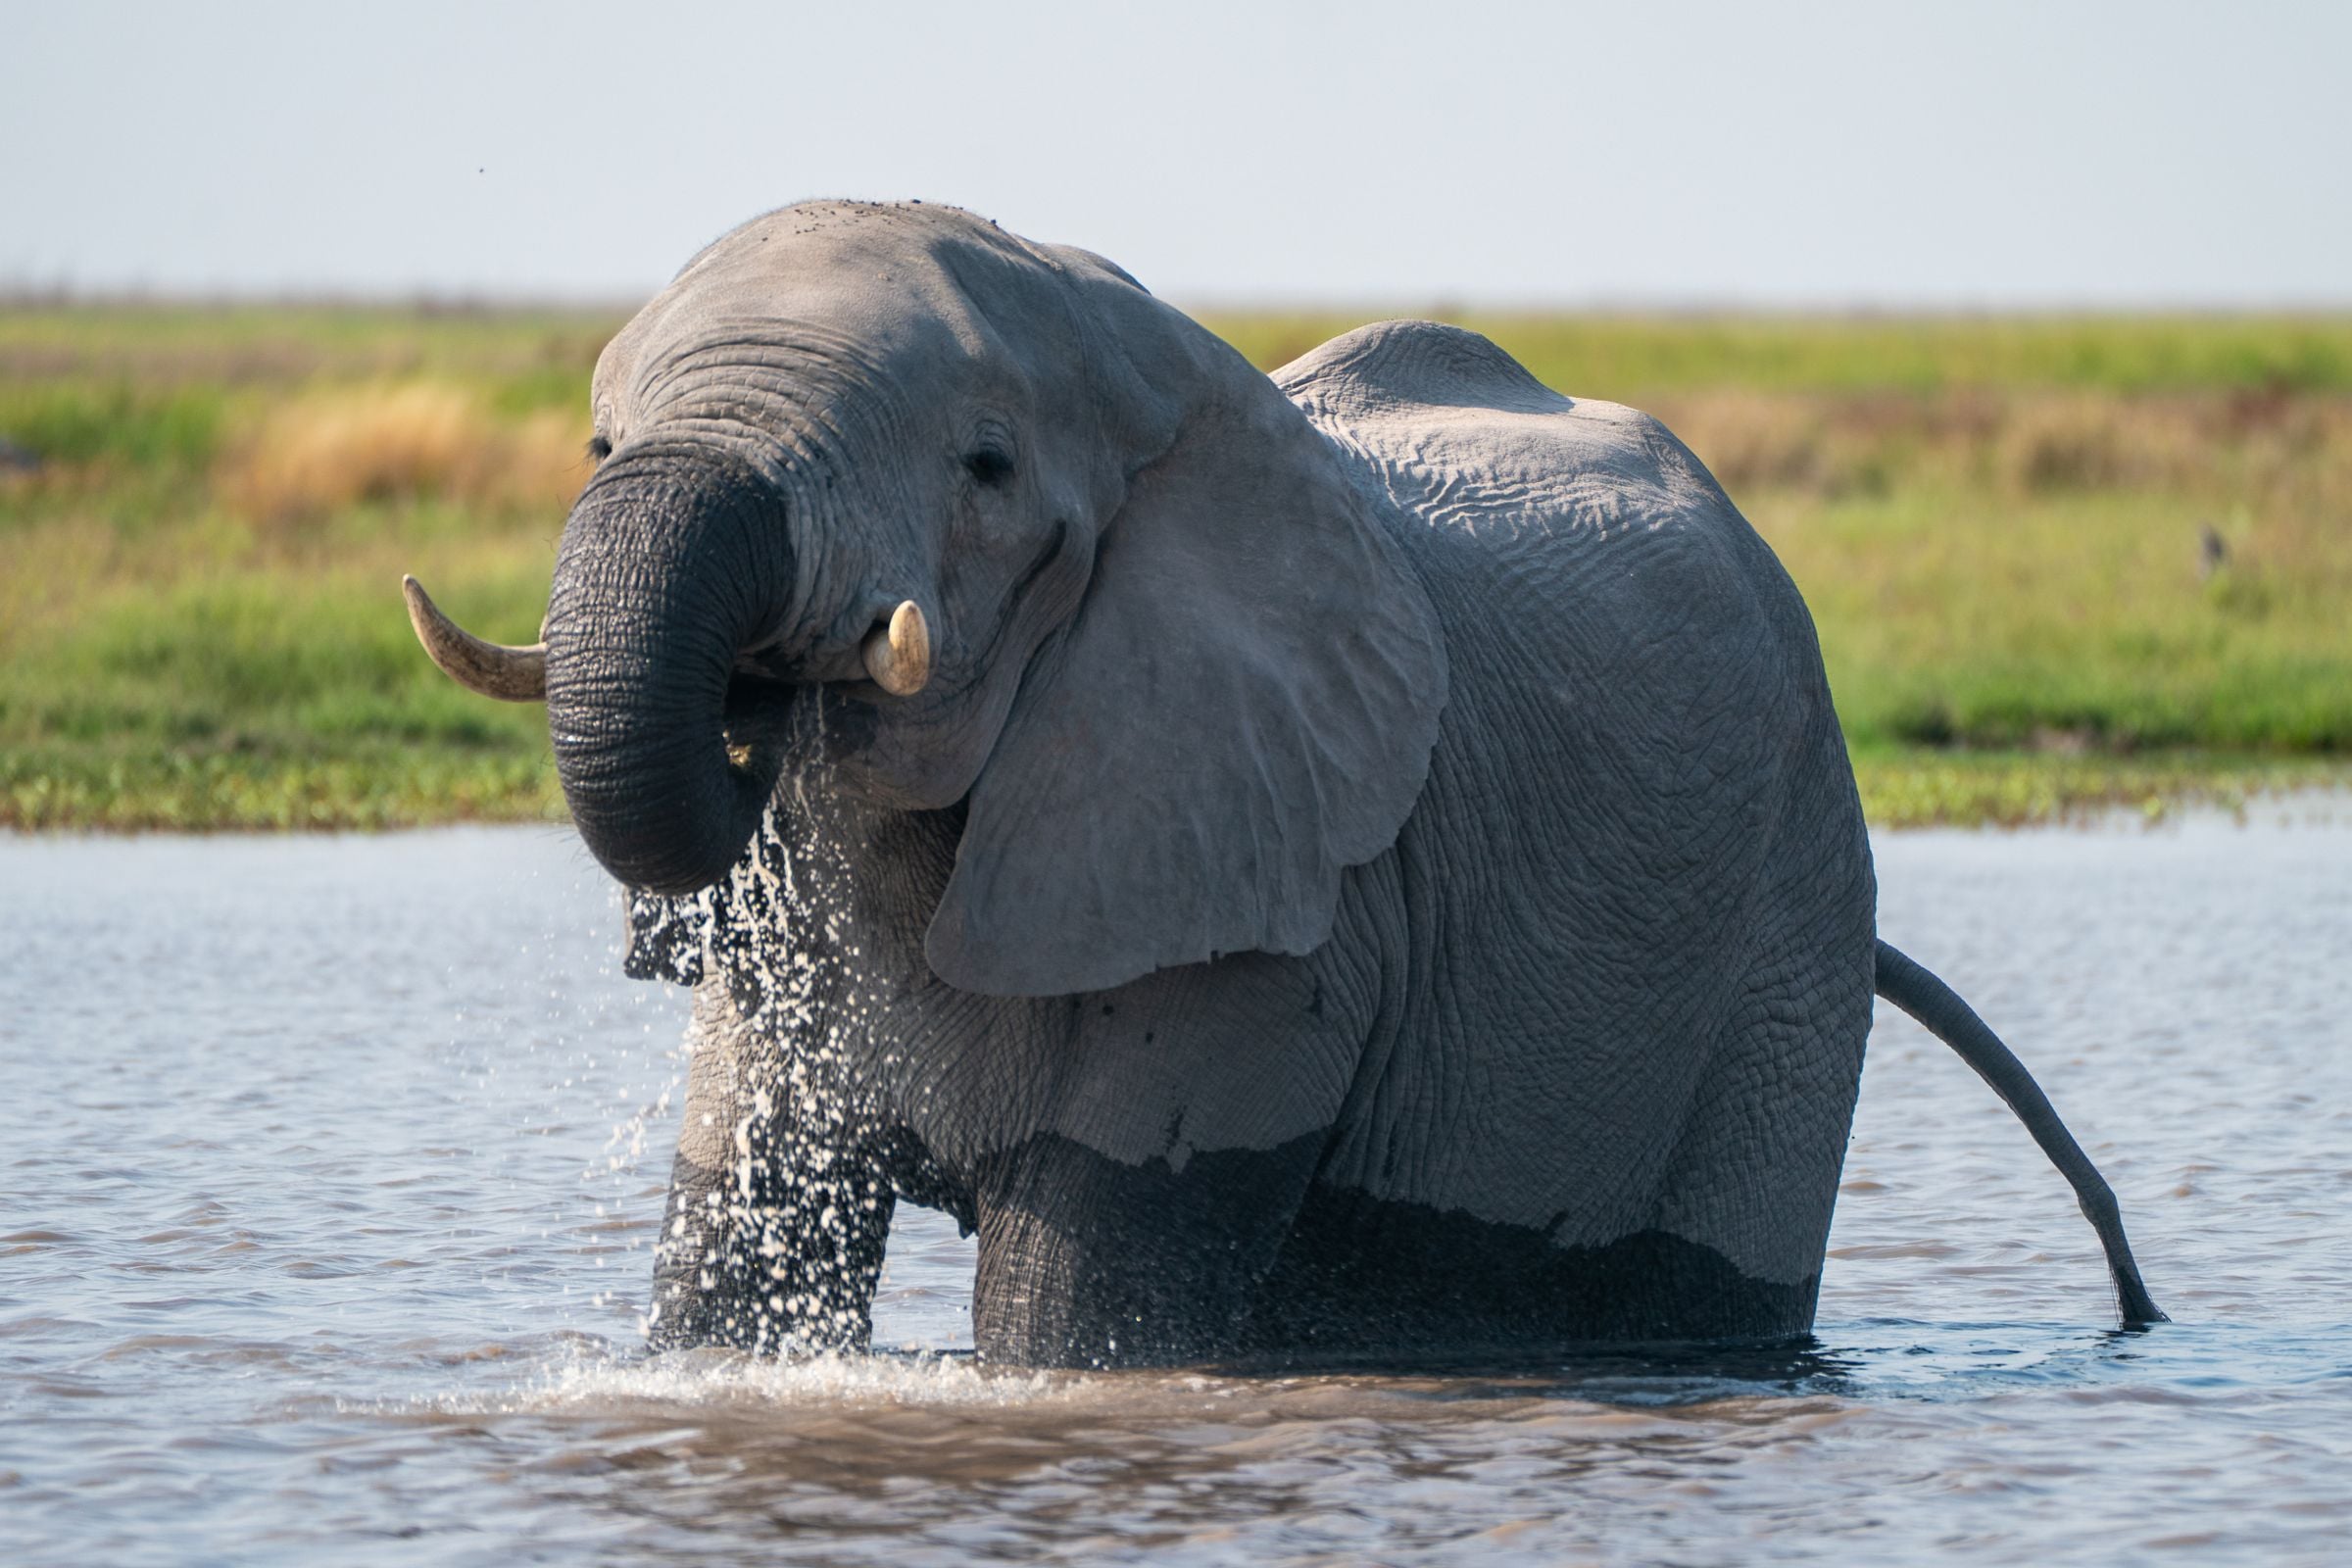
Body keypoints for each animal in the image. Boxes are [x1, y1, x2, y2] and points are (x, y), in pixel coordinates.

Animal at [405, 200, 2162, 1367]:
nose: (765, 694)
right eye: (596, 444)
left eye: (986, 469)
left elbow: (1069, 1319)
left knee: (1701, 1278)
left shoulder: (1287, 916)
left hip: (1786, 946)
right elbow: (735, 1264)